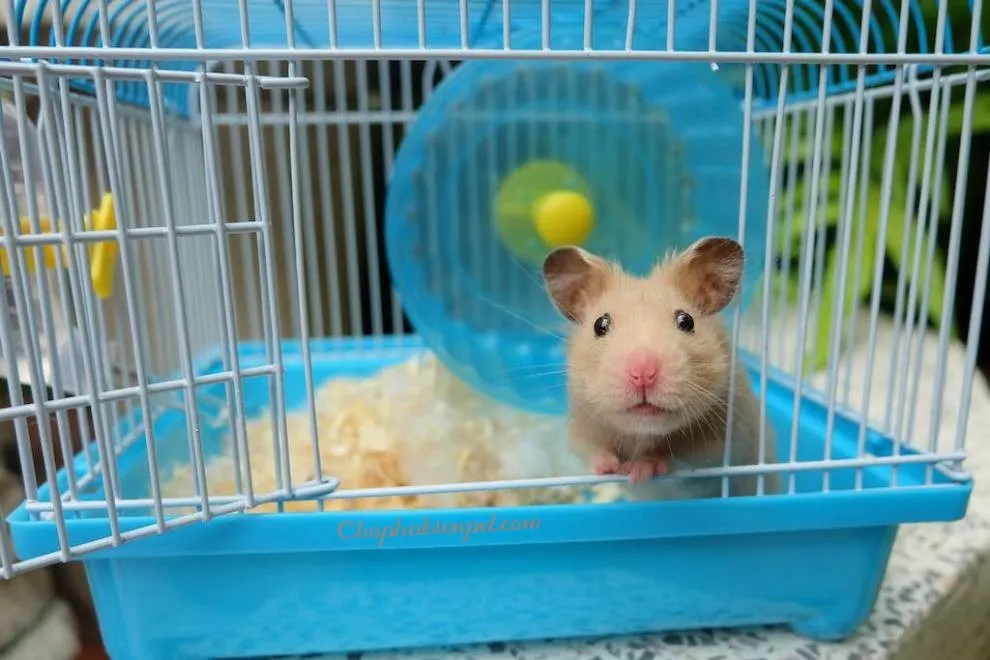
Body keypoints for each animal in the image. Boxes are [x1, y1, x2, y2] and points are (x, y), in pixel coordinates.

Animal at [541, 236, 779, 500]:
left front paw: (638, 470)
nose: (643, 373)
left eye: (686, 321)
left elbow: (674, 457)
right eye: (600, 325)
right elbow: (591, 450)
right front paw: (612, 467)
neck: (643, 434)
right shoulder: (581, 427)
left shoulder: (717, 444)